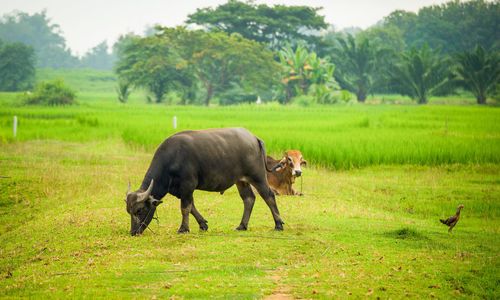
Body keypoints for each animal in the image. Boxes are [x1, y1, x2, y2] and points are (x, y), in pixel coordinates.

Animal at [125, 126, 286, 234]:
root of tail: (254, 138)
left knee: (268, 196)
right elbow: (192, 207)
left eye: (139, 210)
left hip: (257, 176)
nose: (133, 232)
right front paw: (203, 224)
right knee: (249, 199)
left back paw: (278, 224)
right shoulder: (181, 191)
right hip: (241, 181)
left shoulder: (188, 185)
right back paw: (242, 225)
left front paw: (183, 228)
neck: (172, 160)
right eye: (129, 211)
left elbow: (185, 208)